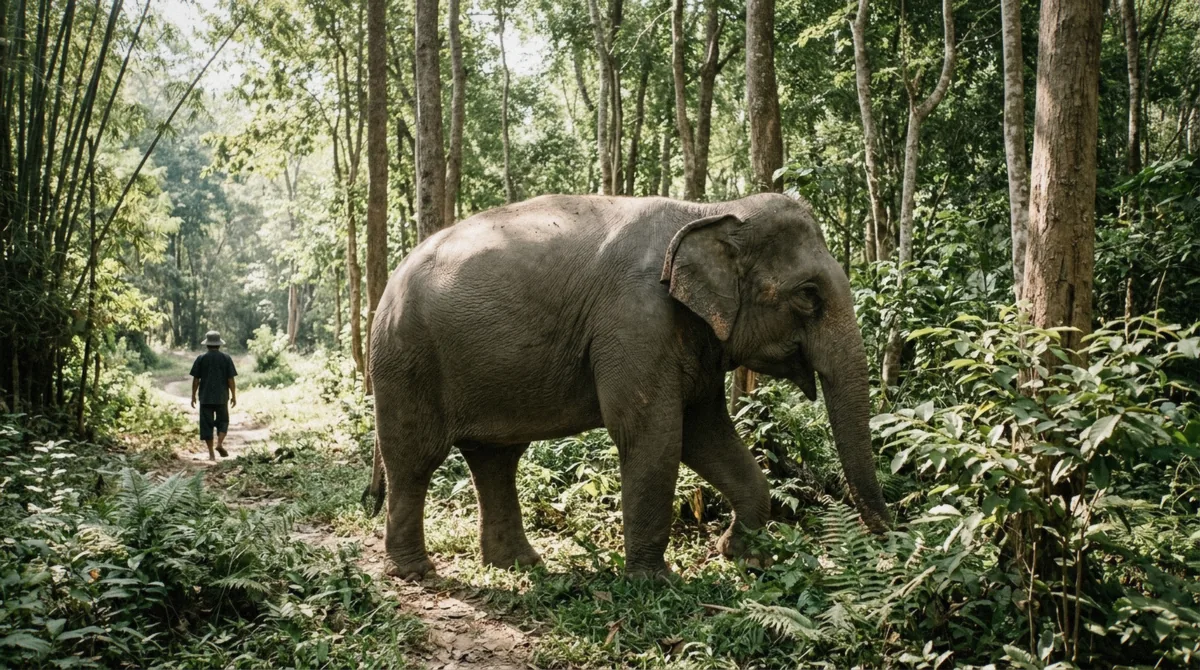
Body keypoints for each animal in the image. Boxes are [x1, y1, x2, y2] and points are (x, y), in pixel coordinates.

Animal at [364, 192, 890, 580]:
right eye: (808, 296)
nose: (889, 542)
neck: (708, 210)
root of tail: (390, 280)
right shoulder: (636, 320)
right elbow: (651, 433)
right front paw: (653, 583)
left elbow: (704, 432)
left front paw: (745, 558)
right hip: (405, 360)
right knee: (415, 459)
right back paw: (416, 573)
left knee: (496, 459)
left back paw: (520, 566)